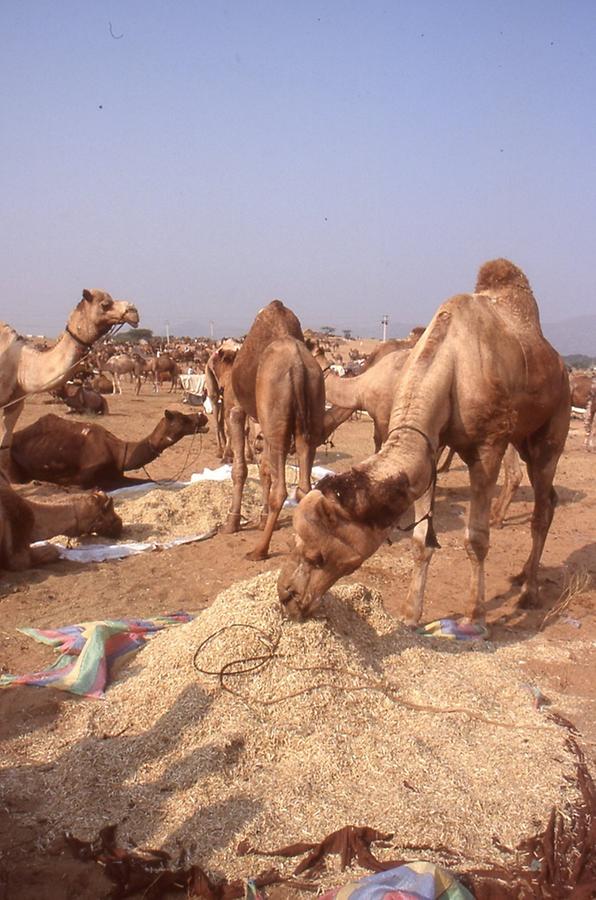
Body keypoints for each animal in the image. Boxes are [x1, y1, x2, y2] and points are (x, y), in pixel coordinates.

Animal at [9, 410, 210, 488]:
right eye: (183, 418)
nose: (203, 416)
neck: (119, 452)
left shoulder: (117, 474)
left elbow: (146, 481)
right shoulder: (83, 477)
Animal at [220, 298, 326, 560]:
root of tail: (298, 366)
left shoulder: (235, 409)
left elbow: (241, 470)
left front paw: (231, 522)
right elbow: (265, 468)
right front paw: (263, 517)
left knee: (282, 490)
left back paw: (259, 550)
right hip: (310, 408)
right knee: (304, 487)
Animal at [278, 260, 572, 624]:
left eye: (318, 556)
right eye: (293, 542)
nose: (286, 596)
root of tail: (561, 365)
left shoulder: (487, 446)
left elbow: (476, 539)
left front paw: (474, 617)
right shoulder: (426, 446)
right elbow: (420, 541)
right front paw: (410, 614)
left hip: (553, 425)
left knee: (542, 506)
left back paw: (529, 593)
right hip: (522, 436)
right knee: (549, 497)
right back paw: (519, 576)